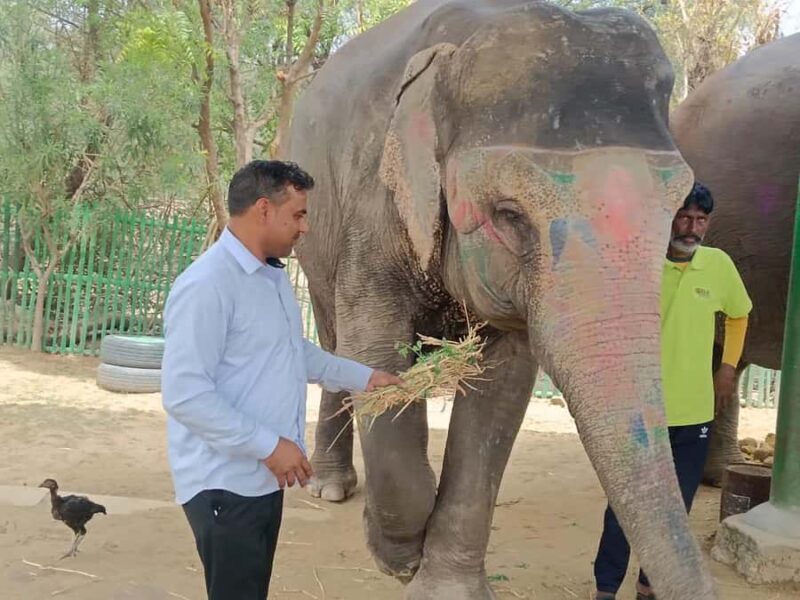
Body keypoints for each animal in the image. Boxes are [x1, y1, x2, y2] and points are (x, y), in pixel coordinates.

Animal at [288, 1, 717, 598]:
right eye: (510, 214)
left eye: (677, 208)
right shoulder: (374, 204)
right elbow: (374, 352)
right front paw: (396, 554)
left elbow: (502, 386)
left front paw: (444, 585)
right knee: (334, 339)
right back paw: (329, 489)